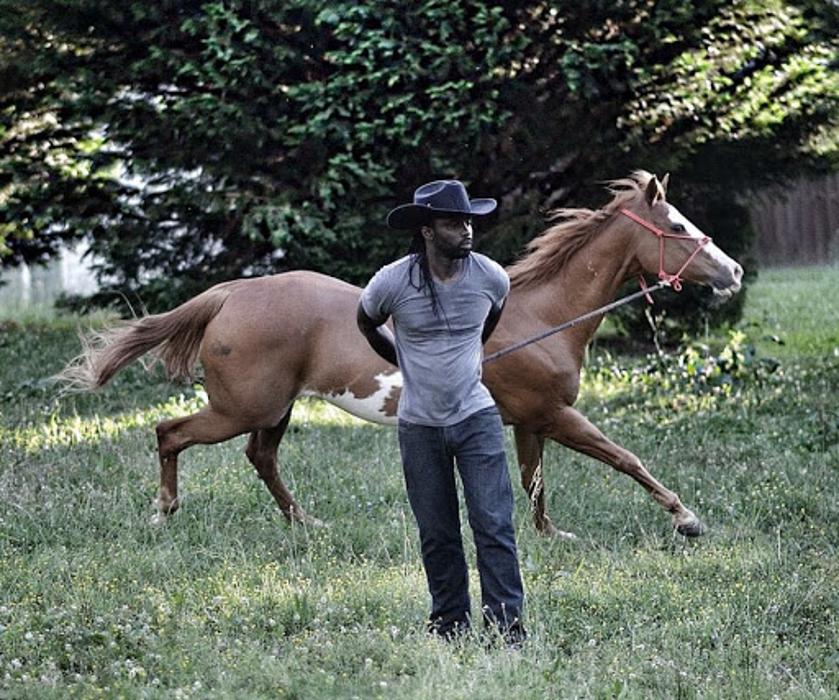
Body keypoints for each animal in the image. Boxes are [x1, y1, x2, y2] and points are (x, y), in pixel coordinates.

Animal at [61, 172, 743, 537]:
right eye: (677, 227)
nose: (732, 271)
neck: (543, 318)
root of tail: (234, 292)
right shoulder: (554, 415)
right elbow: (626, 459)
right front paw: (686, 517)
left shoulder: (531, 422)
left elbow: (534, 484)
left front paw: (551, 534)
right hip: (240, 406)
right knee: (170, 432)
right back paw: (165, 513)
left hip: (274, 408)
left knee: (261, 457)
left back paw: (304, 523)